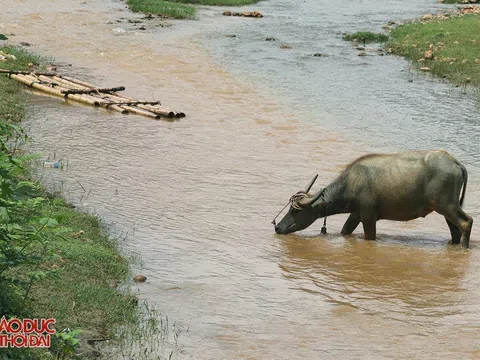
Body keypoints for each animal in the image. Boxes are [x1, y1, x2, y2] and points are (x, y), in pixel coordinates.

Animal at [274, 150, 472, 248]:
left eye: (295, 211)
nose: (278, 227)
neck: (351, 184)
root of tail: (455, 163)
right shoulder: (355, 214)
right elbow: (345, 231)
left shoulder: (369, 217)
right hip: (446, 209)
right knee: (455, 230)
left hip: (446, 206)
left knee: (466, 222)